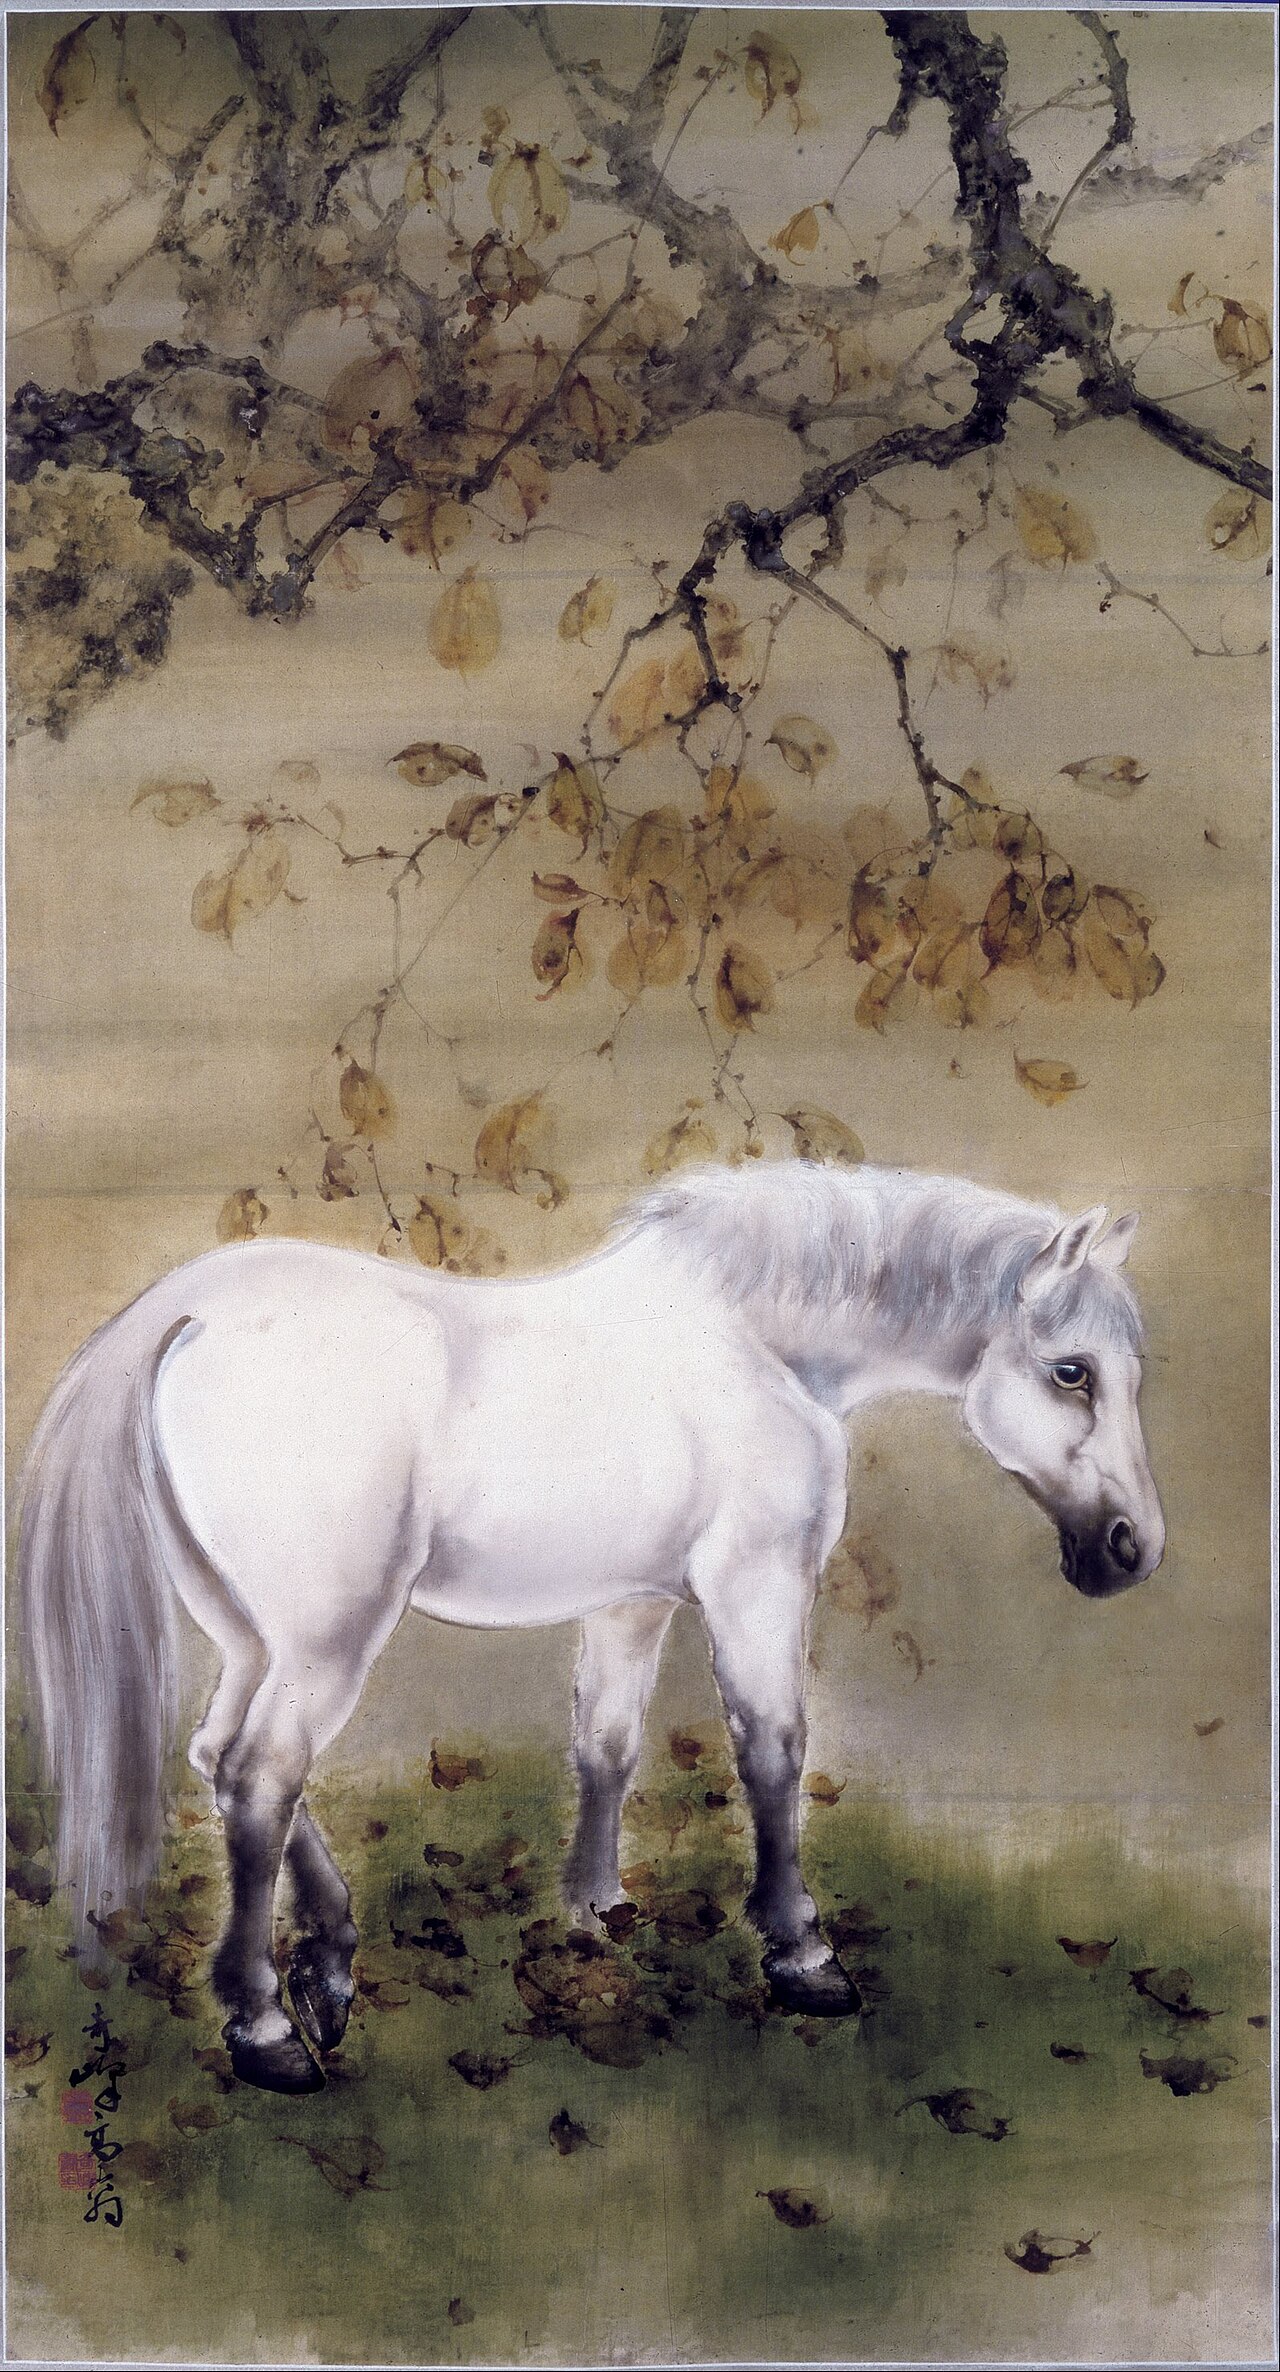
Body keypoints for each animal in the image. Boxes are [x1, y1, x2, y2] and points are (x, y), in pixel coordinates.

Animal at [17, 1160, 1164, 2094]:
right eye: (1071, 1370)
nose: (1130, 1548)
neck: (754, 1341)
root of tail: (188, 1312)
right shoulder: (754, 1585)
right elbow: (772, 1750)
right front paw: (801, 1956)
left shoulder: (631, 1601)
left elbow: (606, 1746)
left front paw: (594, 1912)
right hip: (326, 1639)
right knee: (261, 1778)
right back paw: (266, 2031)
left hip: (252, 1635)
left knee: (222, 1760)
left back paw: (332, 1968)